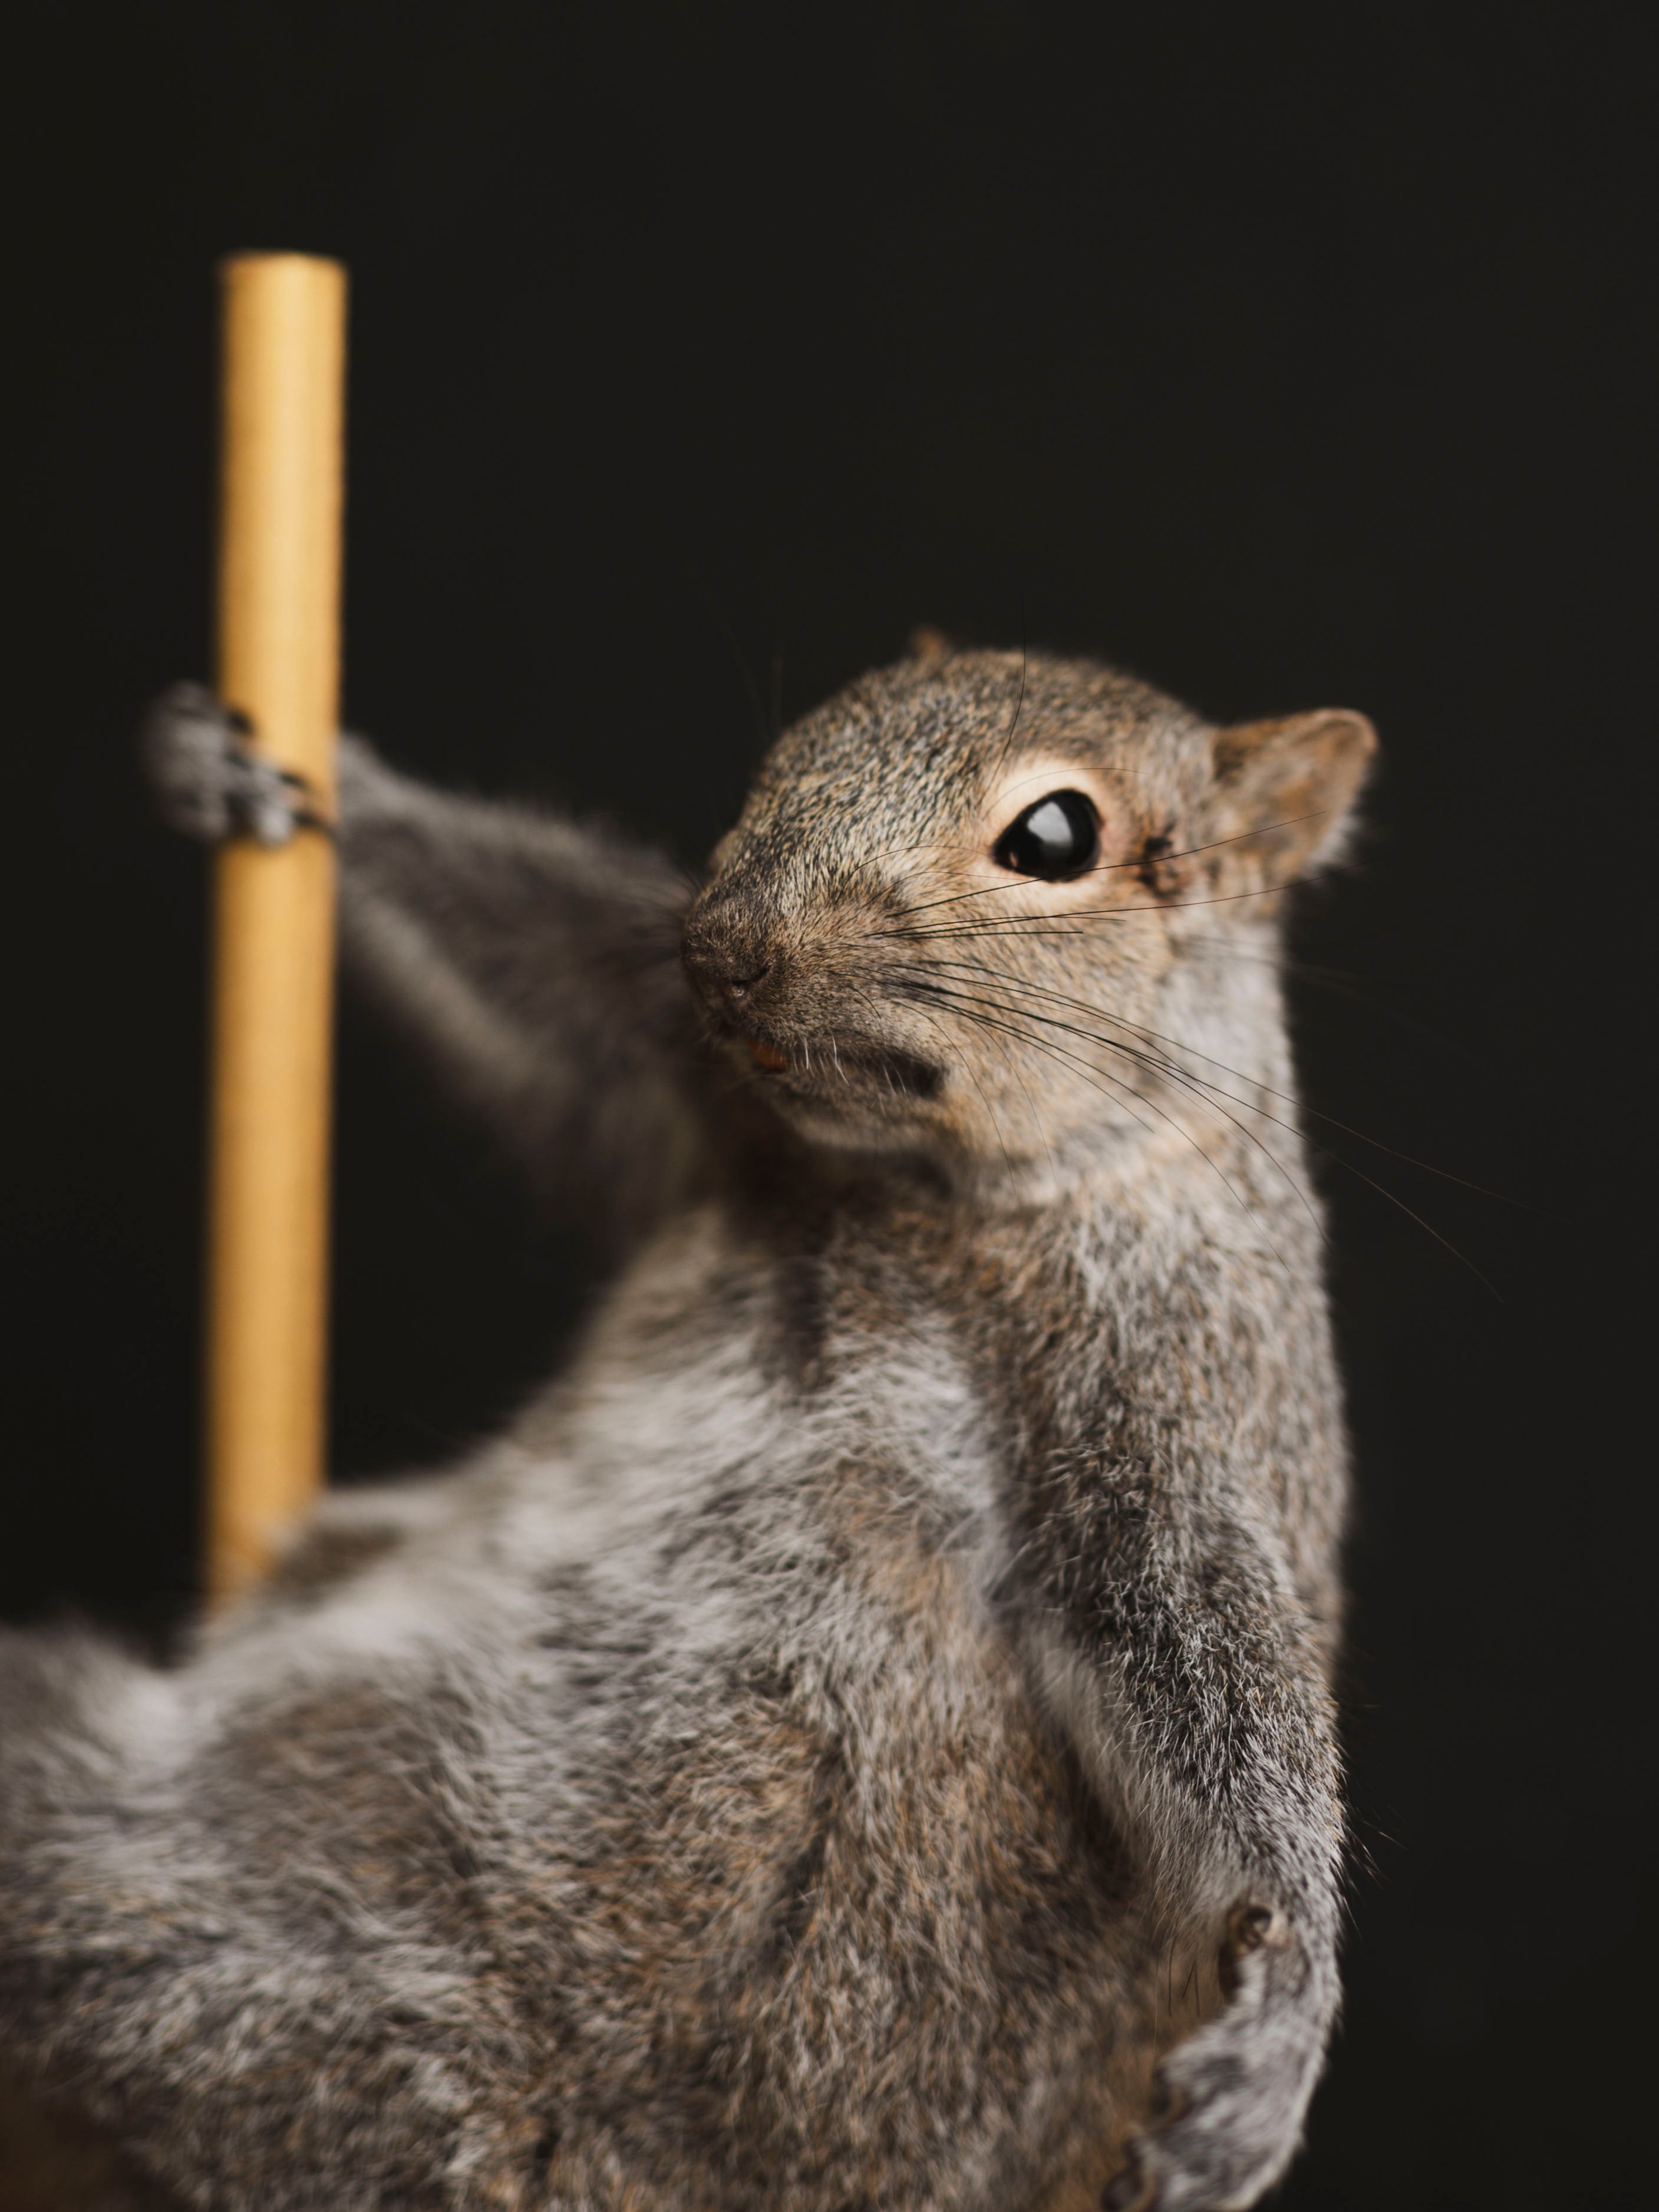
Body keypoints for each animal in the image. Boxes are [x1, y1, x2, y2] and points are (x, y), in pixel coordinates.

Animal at [0, 639, 1375, 2211]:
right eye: (802, 739)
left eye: (1054, 837)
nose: (728, 945)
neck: (906, 1189)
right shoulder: (689, 1086)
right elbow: (550, 989)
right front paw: (282, 780)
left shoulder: (1164, 1378)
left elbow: (1205, 1646)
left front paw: (1282, 2009)